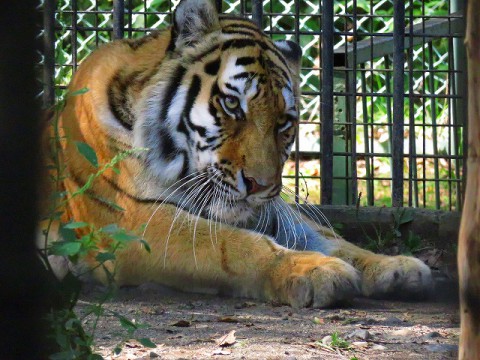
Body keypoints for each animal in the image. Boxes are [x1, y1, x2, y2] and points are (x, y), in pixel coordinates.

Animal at [43, 0, 434, 306]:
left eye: (283, 122)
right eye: (232, 105)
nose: (260, 185)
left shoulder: (270, 209)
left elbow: (329, 238)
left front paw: (394, 267)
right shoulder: (133, 222)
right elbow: (233, 246)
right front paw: (317, 270)